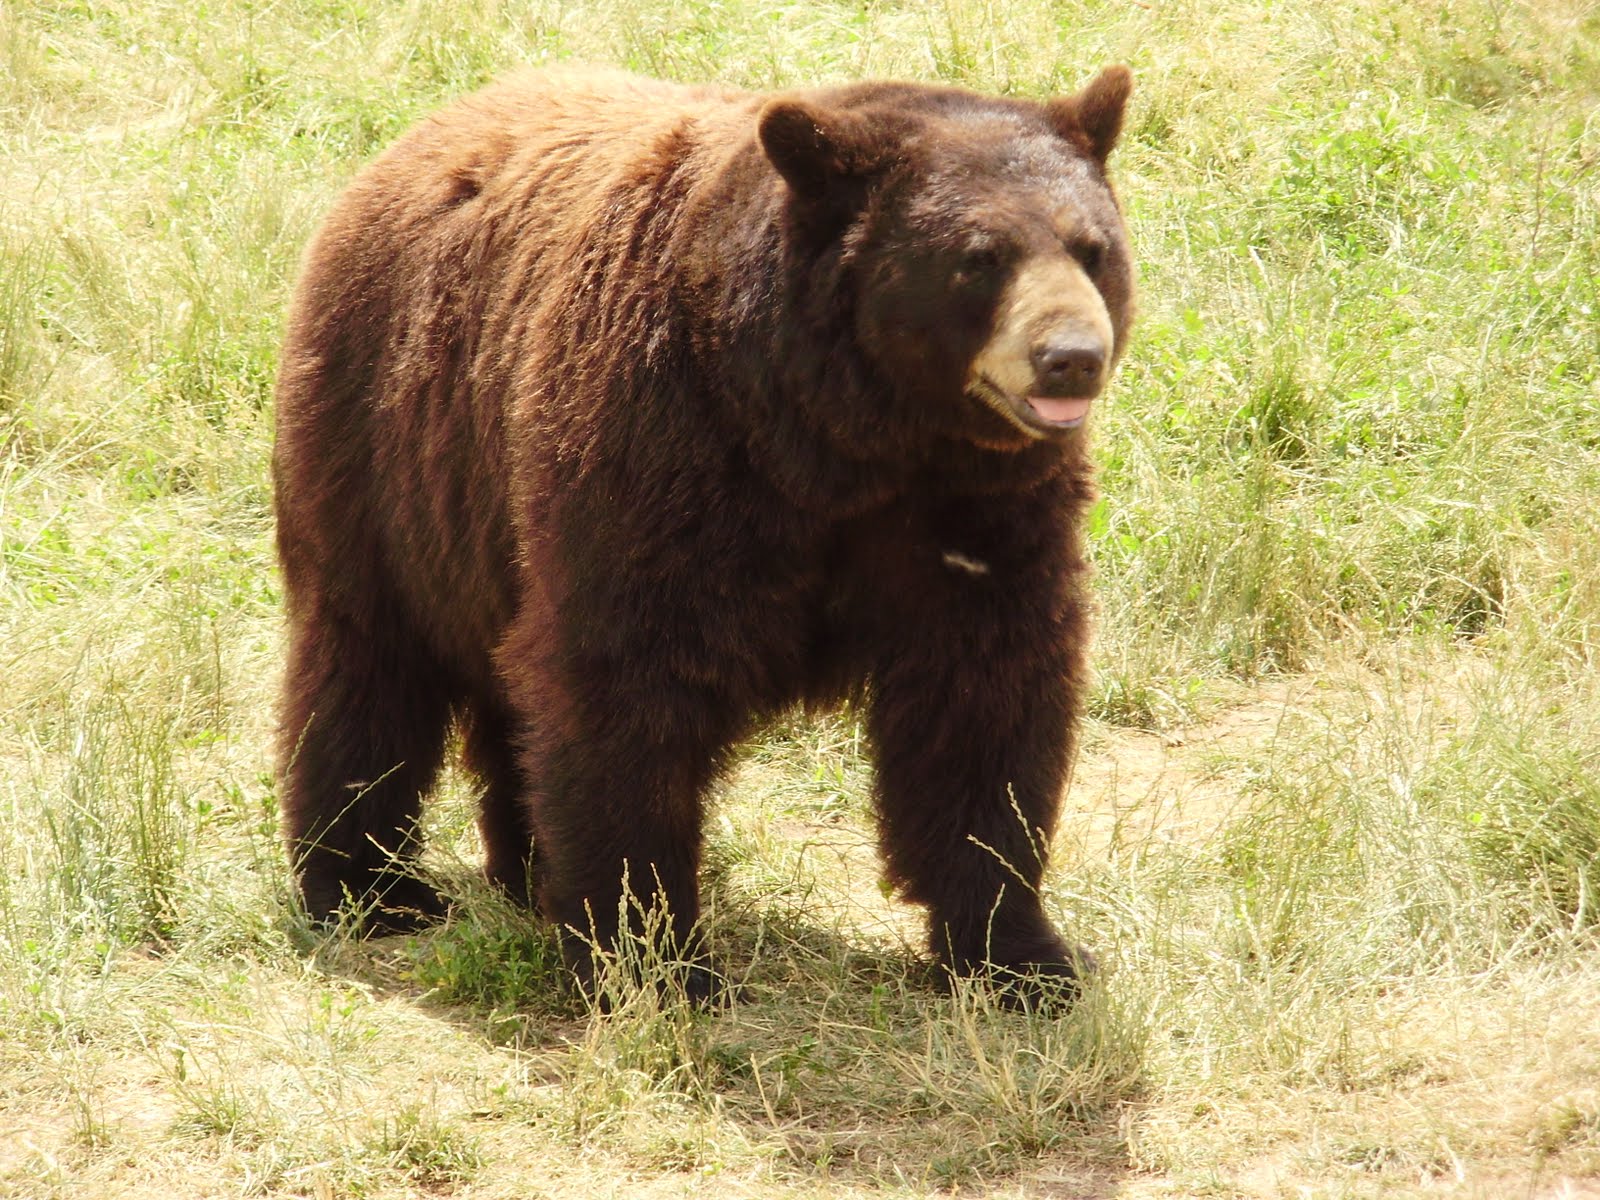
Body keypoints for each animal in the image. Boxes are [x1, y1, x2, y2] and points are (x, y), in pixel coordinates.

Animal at [272, 64, 1135, 1006]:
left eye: (1093, 247)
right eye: (979, 258)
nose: (1071, 358)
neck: (843, 439)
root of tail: (409, 143)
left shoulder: (977, 510)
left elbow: (983, 705)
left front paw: (1022, 954)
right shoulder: (668, 452)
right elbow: (627, 680)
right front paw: (652, 957)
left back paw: (527, 866)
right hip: (387, 453)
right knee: (368, 667)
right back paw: (369, 884)